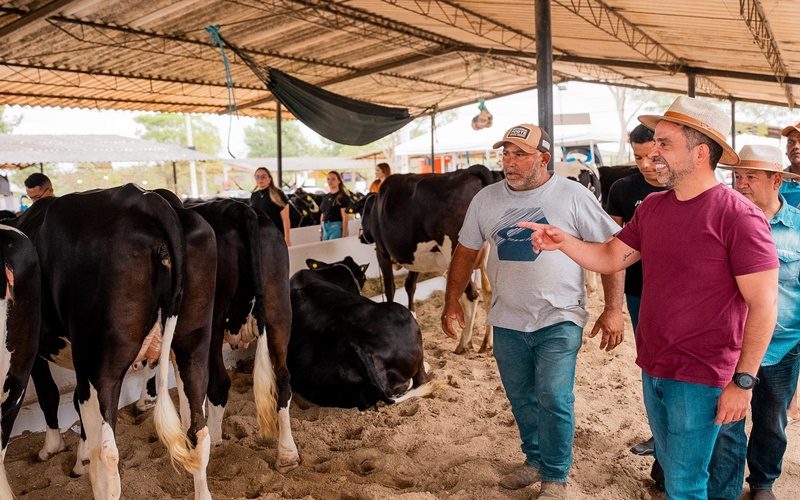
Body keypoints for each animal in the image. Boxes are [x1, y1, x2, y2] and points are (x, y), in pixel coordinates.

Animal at [22, 186, 214, 498]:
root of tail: (148, 198)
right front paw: (79, 460)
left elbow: (49, 394)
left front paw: (51, 449)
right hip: (193, 347)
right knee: (197, 431)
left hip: (99, 366)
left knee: (106, 458)